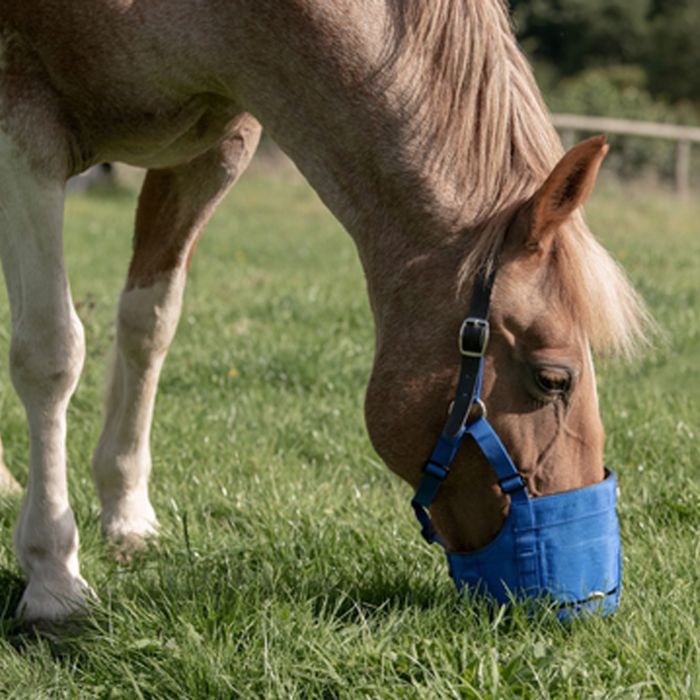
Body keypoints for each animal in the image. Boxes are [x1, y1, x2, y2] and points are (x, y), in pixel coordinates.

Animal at [0, 0, 648, 625]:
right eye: (553, 378)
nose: (589, 596)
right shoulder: (23, 133)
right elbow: (51, 353)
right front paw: (53, 574)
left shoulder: (213, 153)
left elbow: (149, 324)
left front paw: (126, 509)